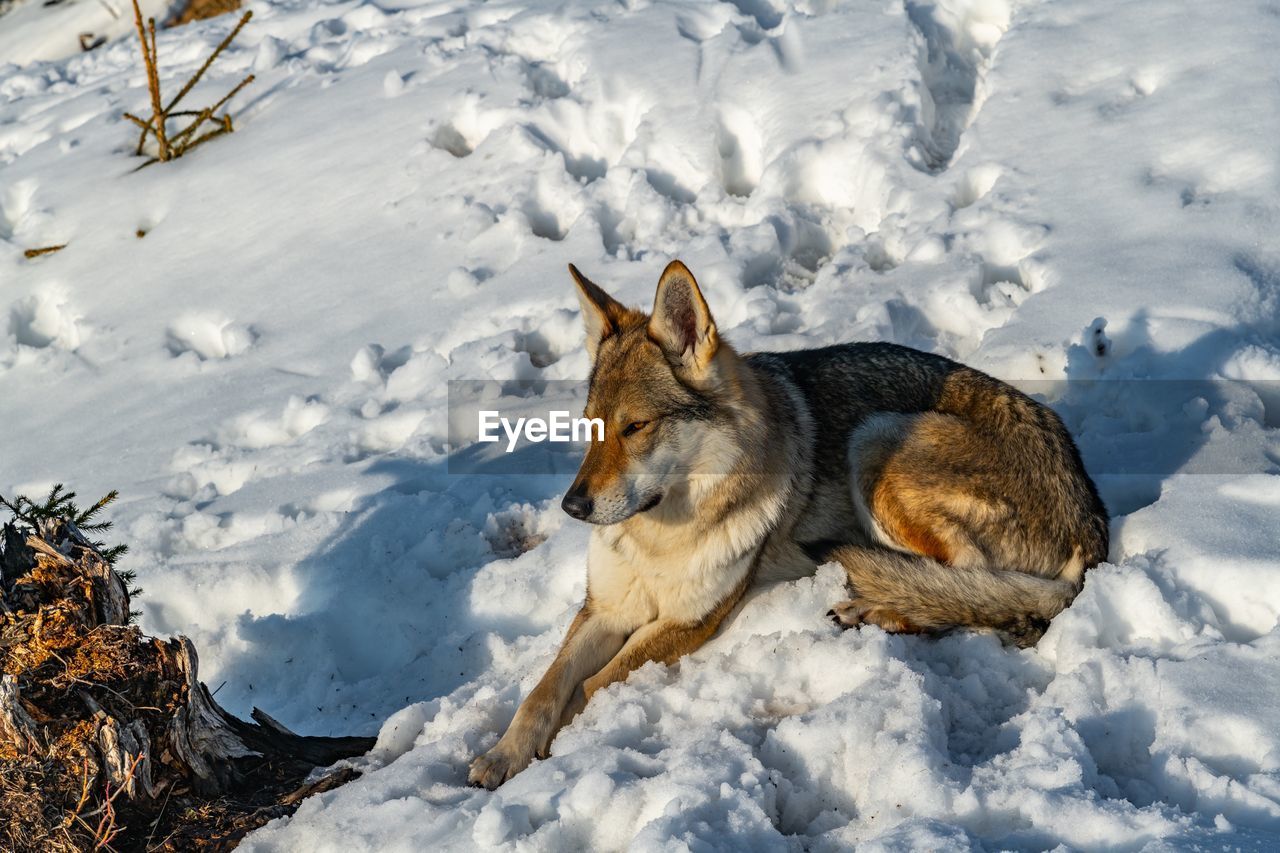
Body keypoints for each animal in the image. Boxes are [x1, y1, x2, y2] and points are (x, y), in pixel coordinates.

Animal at [465, 256, 1105, 788]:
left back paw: (878, 610)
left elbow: (588, 690)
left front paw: (556, 753)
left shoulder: (689, 621)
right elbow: (543, 690)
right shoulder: (604, 609)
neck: (662, 537)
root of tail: (1092, 522)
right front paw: (502, 756)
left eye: (636, 427)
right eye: (591, 427)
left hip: (878, 441)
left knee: (968, 593)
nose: (572, 508)